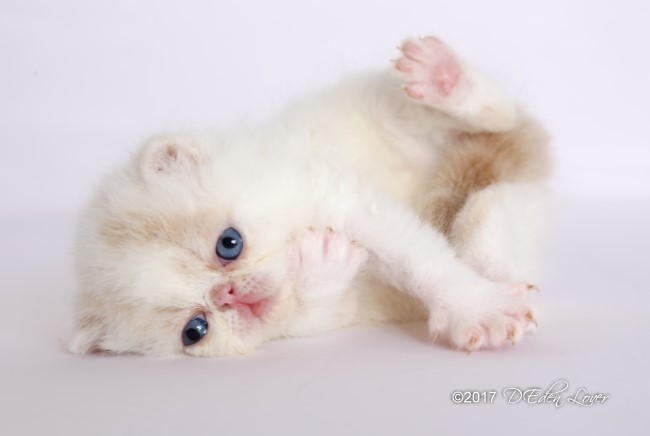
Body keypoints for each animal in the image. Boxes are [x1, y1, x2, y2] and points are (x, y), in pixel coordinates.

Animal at [69, 35, 550, 357]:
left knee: (497, 119)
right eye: (195, 329)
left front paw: (477, 308)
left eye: (229, 244)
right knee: (485, 209)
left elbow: (421, 263)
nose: (229, 296)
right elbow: (313, 310)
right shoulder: (335, 313)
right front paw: (323, 263)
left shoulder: (340, 197)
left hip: (402, 111)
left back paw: (444, 78)